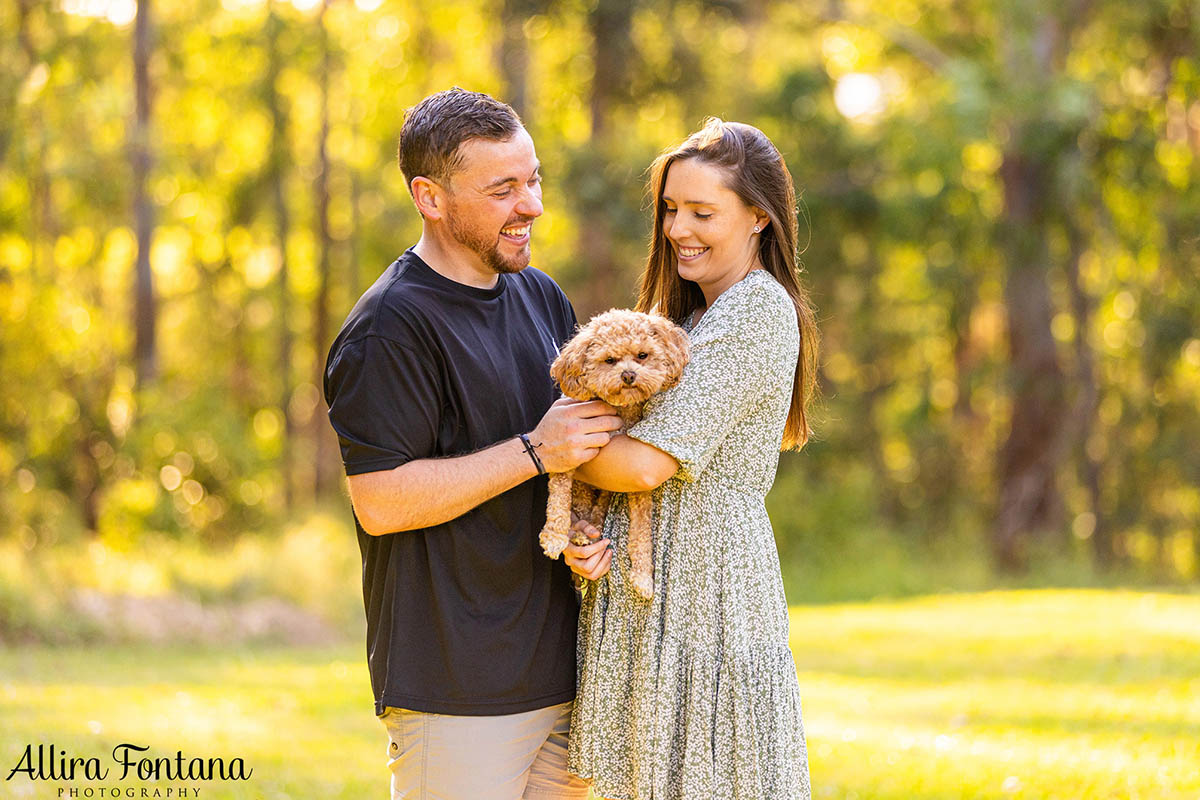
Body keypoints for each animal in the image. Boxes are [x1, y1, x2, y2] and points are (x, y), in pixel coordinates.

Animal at [540, 309, 691, 597]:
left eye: (642, 355)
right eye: (609, 360)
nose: (629, 375)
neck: (620, 410)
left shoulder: (638, 484)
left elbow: (642, 531)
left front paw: (643, 576)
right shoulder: (567, 452)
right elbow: (558, 498)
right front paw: (554, 536)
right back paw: (578, 536)